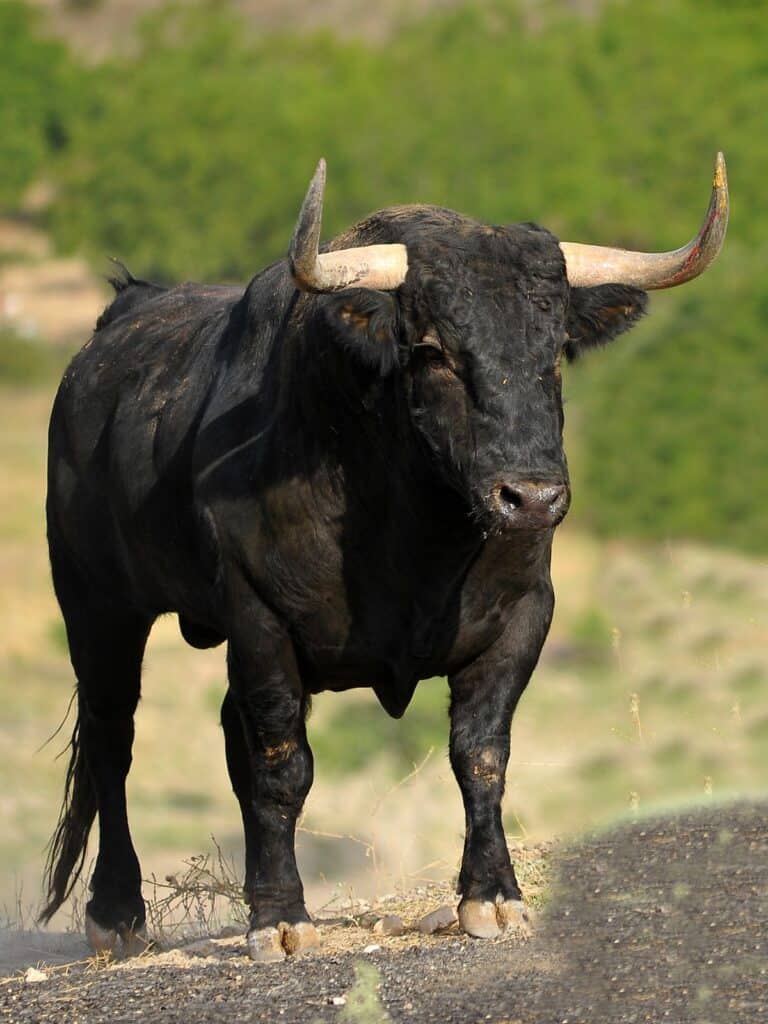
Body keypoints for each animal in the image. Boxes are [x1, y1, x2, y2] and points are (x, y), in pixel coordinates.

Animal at [41, 155, 728, 960]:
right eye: (433, 351)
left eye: (555, 351)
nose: (529, 498)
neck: (412, 540)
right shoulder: (258, 617)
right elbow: (283, 767)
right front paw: (279, 919)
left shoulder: (523, 616)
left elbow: (479, 754)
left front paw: (493, 897)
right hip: (98, 607)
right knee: (113, 740)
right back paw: (118, 912)